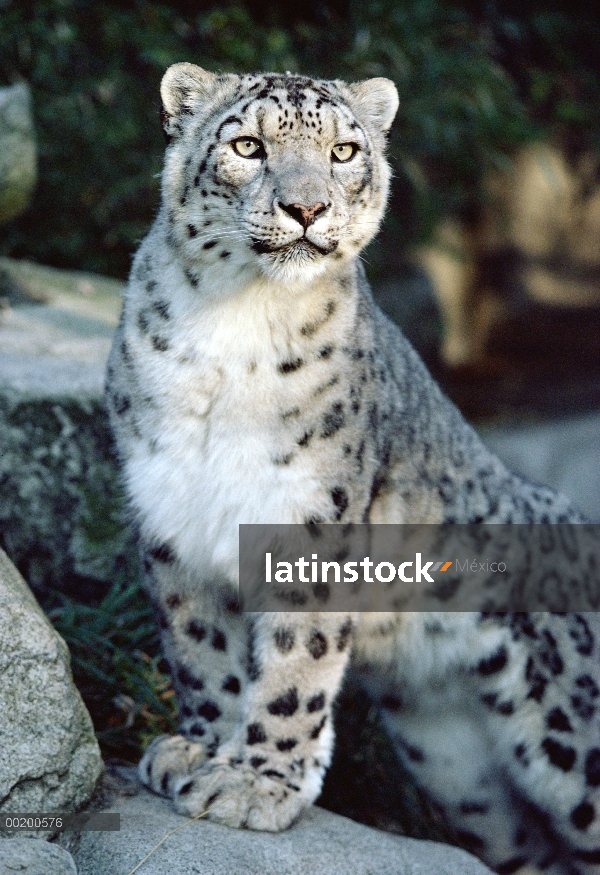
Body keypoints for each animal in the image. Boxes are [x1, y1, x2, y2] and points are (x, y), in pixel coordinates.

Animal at [105, 63, 600, 875]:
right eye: (247, 145)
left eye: (342, 151)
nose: (306, 206)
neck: (231, 327)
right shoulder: (172, 515)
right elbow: (200, 649)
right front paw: (204, 748)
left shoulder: (311, 521)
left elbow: (293, 667)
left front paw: (257, 783)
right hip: (457, 767)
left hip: (568, 735)